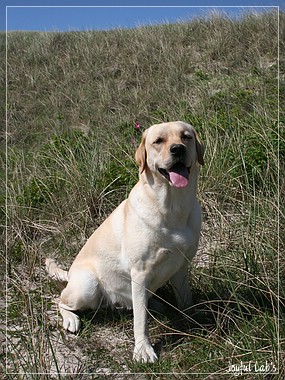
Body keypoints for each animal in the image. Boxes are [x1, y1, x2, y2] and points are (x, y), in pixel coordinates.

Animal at [45, 121, 203, 362]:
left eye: (186, 137)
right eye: (158, 141)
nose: (178, 149)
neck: (172, 206)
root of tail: (70, 273)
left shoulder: (182, 266)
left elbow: (185, 300)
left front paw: (193, 322)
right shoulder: (140, 272)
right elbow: (140, 321)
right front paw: (143, 349)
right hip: (87, 286)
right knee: (59, 300)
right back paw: (71, 319)